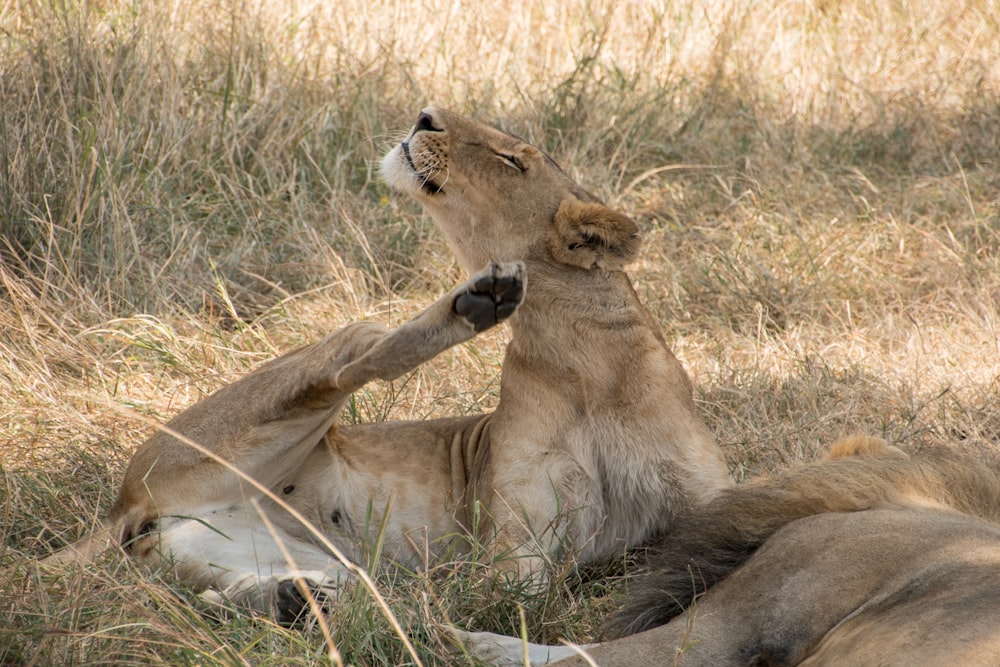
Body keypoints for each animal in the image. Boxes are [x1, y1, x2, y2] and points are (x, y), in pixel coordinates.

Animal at [47, 108, 732, 628]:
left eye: (512, 160)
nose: (425, 116)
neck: (586, 363)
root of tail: (122, 505)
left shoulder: (706, 494)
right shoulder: (515, 545)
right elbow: (512, 603)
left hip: (263, 551)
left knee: (230, 595)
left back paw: (297, 600)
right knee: (352, 352)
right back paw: (478, 301)